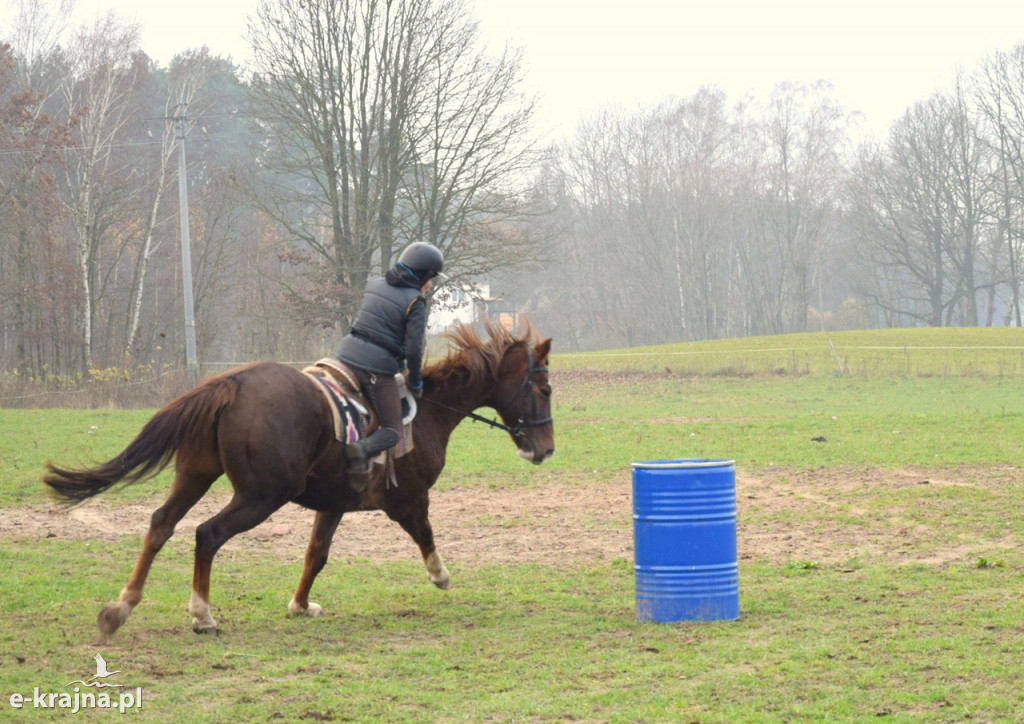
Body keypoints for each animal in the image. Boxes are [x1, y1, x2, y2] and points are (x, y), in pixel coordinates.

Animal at [41, 321, 552, 634]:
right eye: (544, 389)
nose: (546, 448)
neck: (427, 409)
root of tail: (232, 383)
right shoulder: (407, 500)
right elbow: (425, 535)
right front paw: (440, 576)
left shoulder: (333, 505)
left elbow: (316, 555)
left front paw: (300, 605)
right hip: (262, 496)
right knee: (207, 534)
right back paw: (202, 614)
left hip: (196, 475)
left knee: (161, 524)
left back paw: (122, 607)